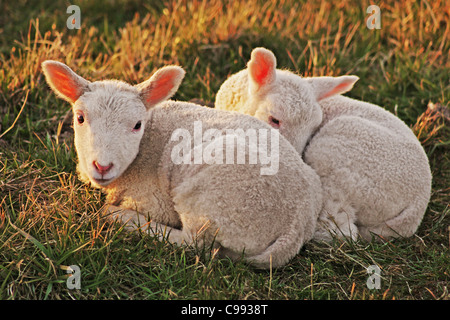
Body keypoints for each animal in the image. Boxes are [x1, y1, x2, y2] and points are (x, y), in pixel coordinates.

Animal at [41, 59, 324, 268]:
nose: (102, 166)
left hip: (211, 197)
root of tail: (296, 225)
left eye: (137, 125)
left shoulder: (154, 200)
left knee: (193, 243)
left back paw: (119, 217)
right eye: (80, 118)